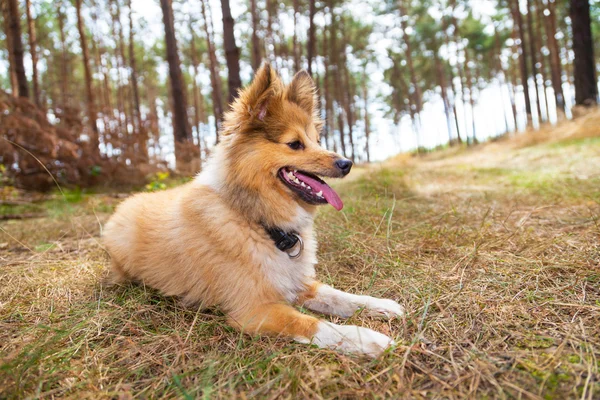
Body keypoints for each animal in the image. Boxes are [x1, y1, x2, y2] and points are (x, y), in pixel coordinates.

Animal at [103, 64, 404, 358]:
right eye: (295, 144)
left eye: (317, 140)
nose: (347, 163)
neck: (258, 221)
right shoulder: (255, 310)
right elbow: (315, 324)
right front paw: (369, 339)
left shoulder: (297, 282)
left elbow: (338, 296)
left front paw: (380, 305)